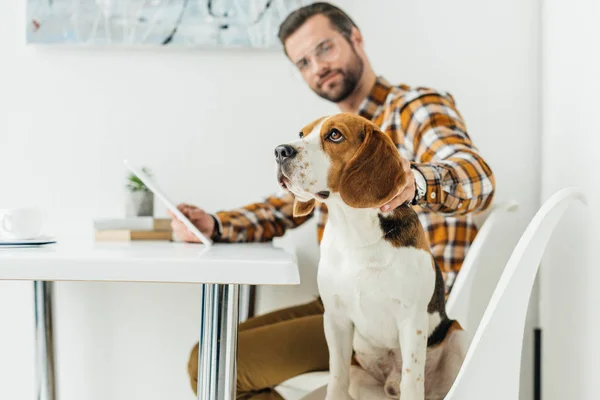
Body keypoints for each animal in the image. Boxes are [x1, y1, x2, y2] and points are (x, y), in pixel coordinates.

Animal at [274, 113, 466, 400]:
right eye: (301, 134)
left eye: (334, 135)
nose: (279, 151)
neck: (355, 232)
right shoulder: (335, 318)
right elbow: (336, 377)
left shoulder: (412, 321)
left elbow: (412, 380)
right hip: (360, 377)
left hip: (458, 335)